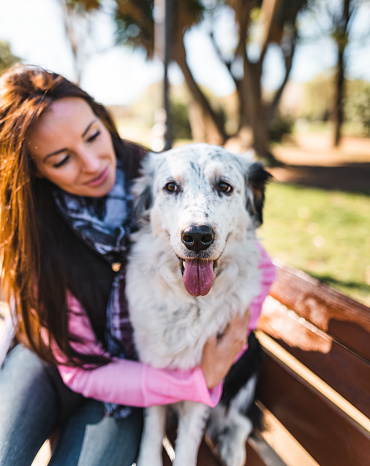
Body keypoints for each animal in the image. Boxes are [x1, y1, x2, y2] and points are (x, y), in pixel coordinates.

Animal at [127, 143, 272, 466]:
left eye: (224, 187)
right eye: (171, 186)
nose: (196, 236)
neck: (190, 304)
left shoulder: (207, 380)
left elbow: (188, 444)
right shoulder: (153, 366)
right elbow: (151, 430)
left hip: (252, 359)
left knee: (242, 421)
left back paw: (232, 449)